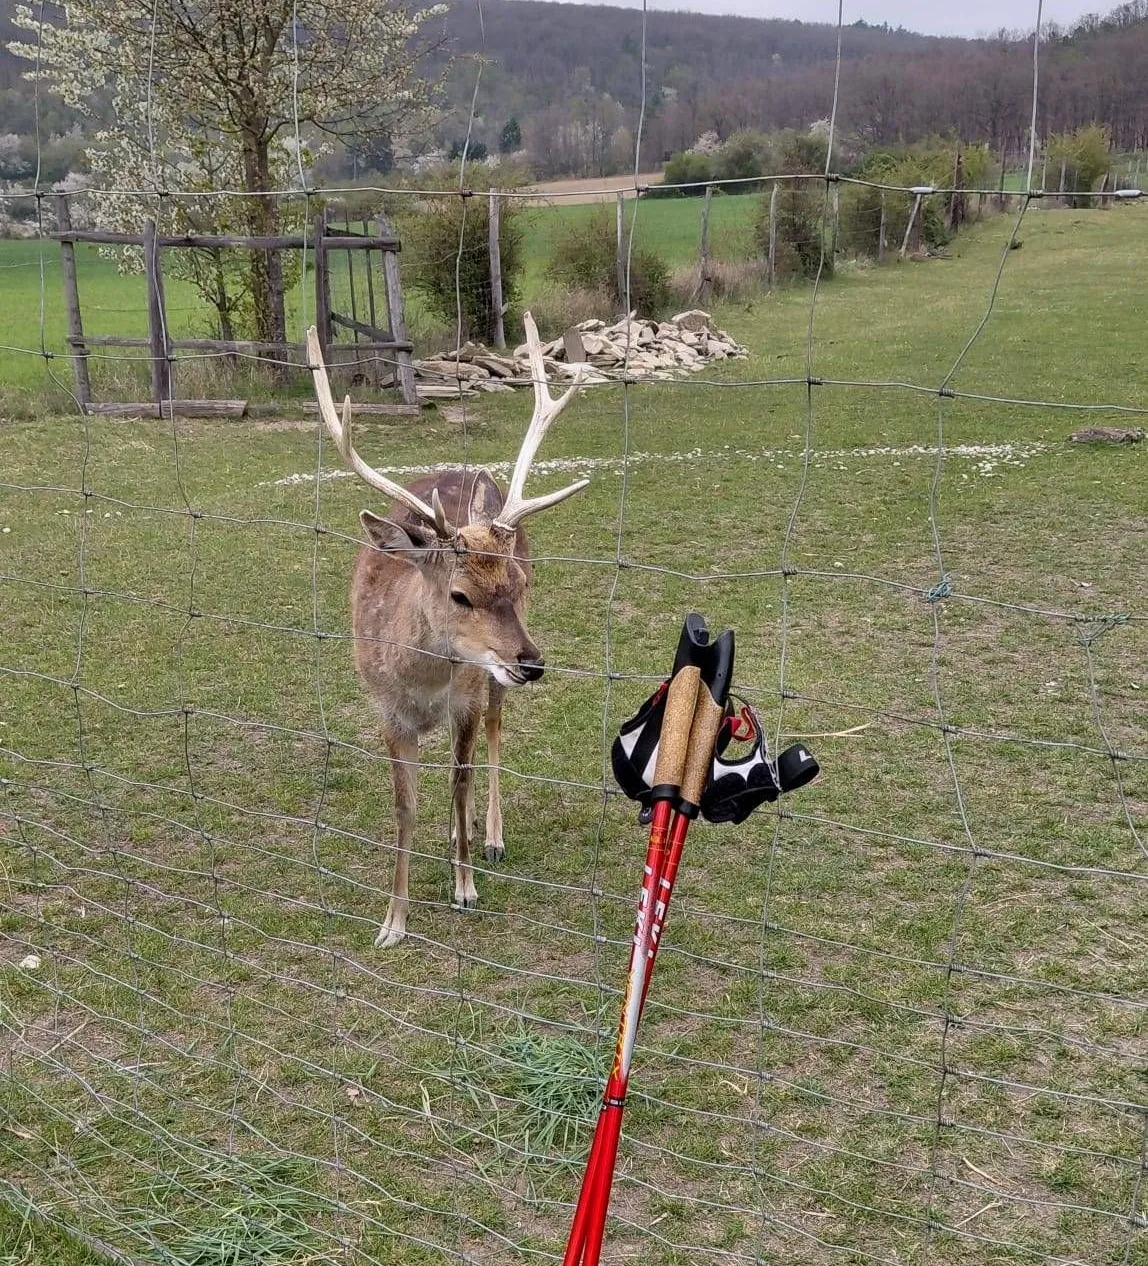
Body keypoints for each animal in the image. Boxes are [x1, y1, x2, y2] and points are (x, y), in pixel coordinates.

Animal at [306, 314, 590, 949]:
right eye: (459, 594)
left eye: (516, 582)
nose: (533, 662)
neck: (423, 679)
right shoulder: (386, 711)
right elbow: (404, 807)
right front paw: (392, 922)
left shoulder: (466, 694)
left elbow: (460, 778)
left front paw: (464, 888)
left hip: (493, 678)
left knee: (494, 732)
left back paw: (490, 836)